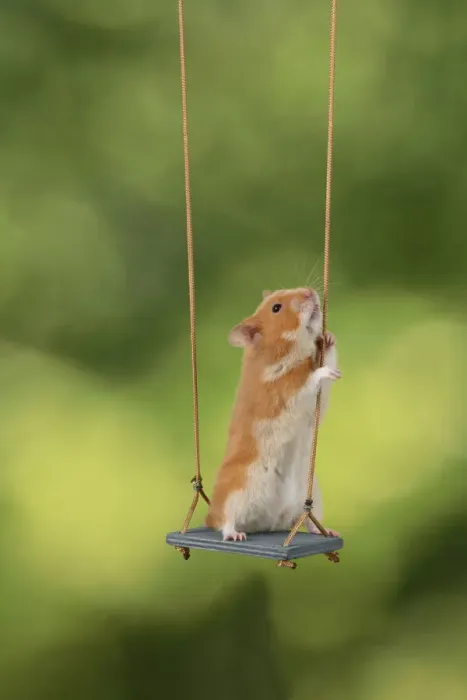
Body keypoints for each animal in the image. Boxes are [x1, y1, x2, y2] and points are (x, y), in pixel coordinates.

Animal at [205, 287, 341, 542]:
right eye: (276, 308)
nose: (310, 291)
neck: (286, 352)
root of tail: (270, 522)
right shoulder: (284, 393)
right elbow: (311, 380)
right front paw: (326, 370)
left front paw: (328, 339)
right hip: (236, 492)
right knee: (224, 521)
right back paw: (235, 535)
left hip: (313, 497)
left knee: (310, 522)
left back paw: (328, 531)